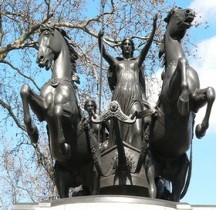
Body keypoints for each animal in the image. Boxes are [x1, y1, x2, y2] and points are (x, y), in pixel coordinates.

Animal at [20, 20, 98, 197]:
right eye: (38, 40)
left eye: (48, 35)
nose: (40, 59)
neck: (58, 82)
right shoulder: (43, 111)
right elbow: (25, 90)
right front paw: (33, 132)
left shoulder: (71, 116)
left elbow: (56, 112)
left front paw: (64, 147)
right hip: (61, 179)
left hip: (93, 178)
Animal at [146, 8, 215, 202]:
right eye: (175, 12)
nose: (190, 11)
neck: (173, 61)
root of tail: (165, 166)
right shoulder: (170, 96)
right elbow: (182, 66)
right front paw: (182, 101)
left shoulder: (196, 101)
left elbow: (210, 92)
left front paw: (200, 129)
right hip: (150, 166)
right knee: (152, 191)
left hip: (180, 173)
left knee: (175, 197)